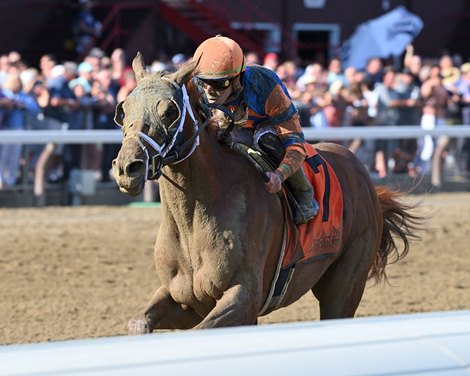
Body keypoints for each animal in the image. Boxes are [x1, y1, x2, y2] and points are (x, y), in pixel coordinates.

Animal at [112, 52, 424, 332]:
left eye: (170, 111)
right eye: (123, 110)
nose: (127, 167)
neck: (194, 220)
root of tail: (361, 172)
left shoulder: (244, 298)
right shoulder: (186, 300)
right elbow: (139, 323)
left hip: (346, 281)